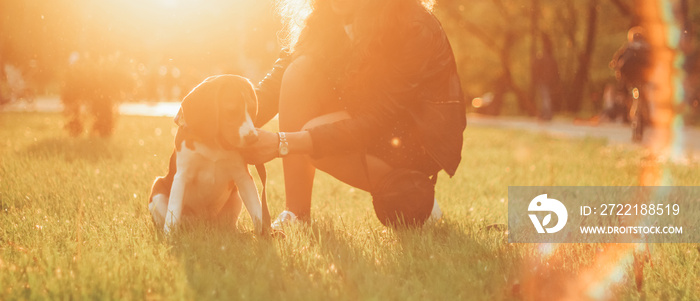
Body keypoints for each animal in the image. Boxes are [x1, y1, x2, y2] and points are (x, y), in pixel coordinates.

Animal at [148, 74, 268, 234]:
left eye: (253, 109)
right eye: (231, 111)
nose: (253, 138)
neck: (214, 144)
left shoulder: (243, 177)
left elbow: (257, 210)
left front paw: (266, 234)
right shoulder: (181, 177)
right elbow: (173, 212)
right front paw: (170, 236)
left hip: (236, 195)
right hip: (157, 189)